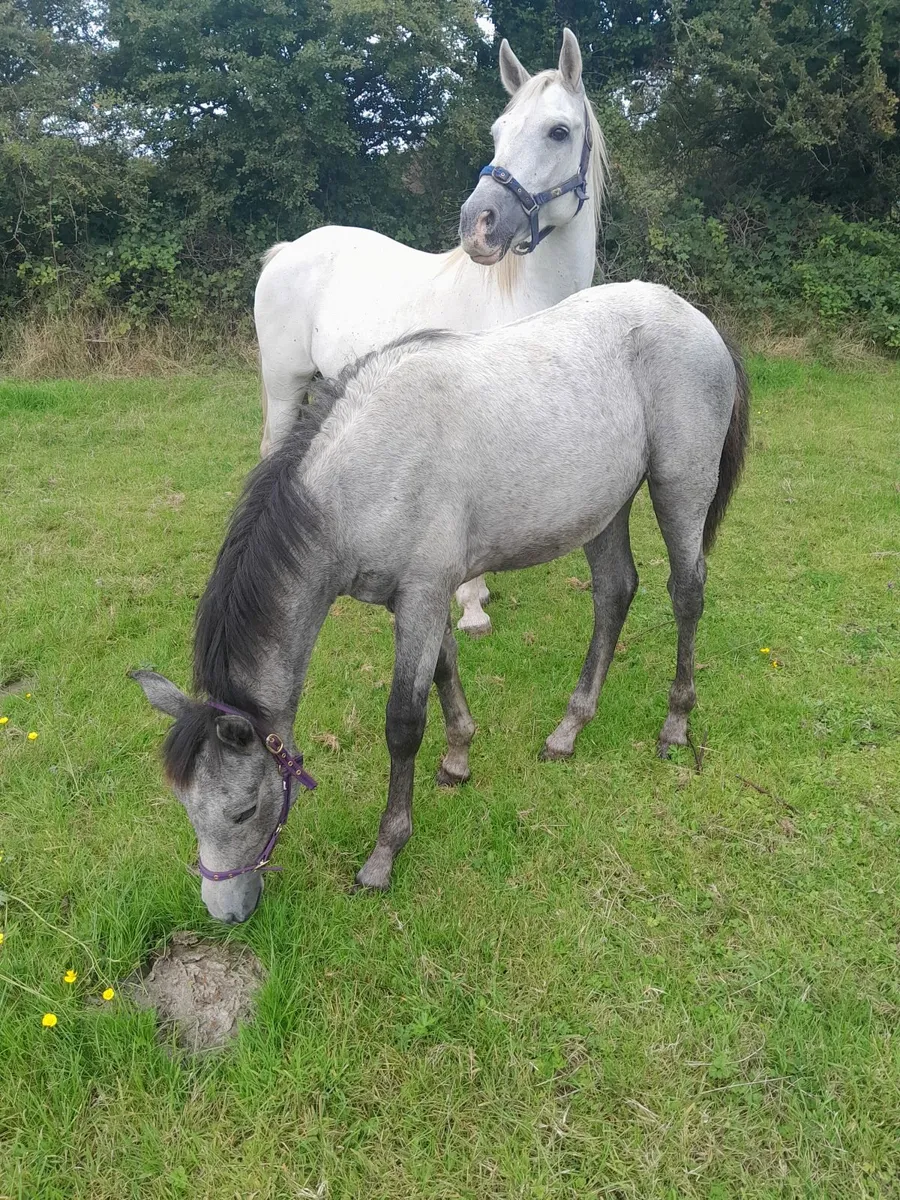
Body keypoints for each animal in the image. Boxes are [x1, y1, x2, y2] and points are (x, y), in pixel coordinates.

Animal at [133, 280, 750, 924]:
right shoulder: (416, 598)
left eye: (243, 812)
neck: (366, 474)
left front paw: (384, 854)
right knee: (614, 593)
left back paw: (675, 725)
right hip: (603, 509)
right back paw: (568, 730)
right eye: (187, 809)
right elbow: (445, 670)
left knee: (686, 595)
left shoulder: (424, 594)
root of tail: (694, 318)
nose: (226, 911)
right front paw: (458, 760)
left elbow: (404, 721)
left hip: (679, 488)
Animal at [254, 28, 609, 639]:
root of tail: (288, 250)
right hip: (283, 386)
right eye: (497, 132)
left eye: (558, 131)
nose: (478, 225)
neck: (520, 299)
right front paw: (470, 606)